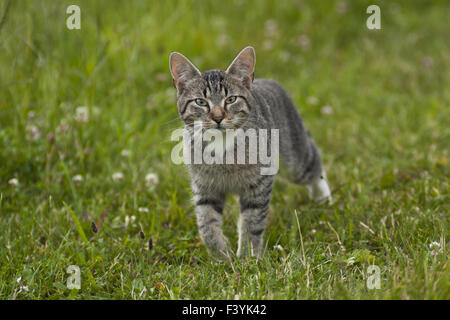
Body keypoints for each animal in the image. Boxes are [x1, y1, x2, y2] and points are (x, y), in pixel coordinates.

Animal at [169, 45, 330, 260]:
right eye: (201, 102)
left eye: (231, 99)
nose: (218, 117)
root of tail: (266, 80)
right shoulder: (204, 187)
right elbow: (207, 225)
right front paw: (222, 256)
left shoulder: (258, 184)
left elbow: (251, 223)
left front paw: (248, 258)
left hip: (295, 161)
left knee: (314, 162)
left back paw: (323, 198)